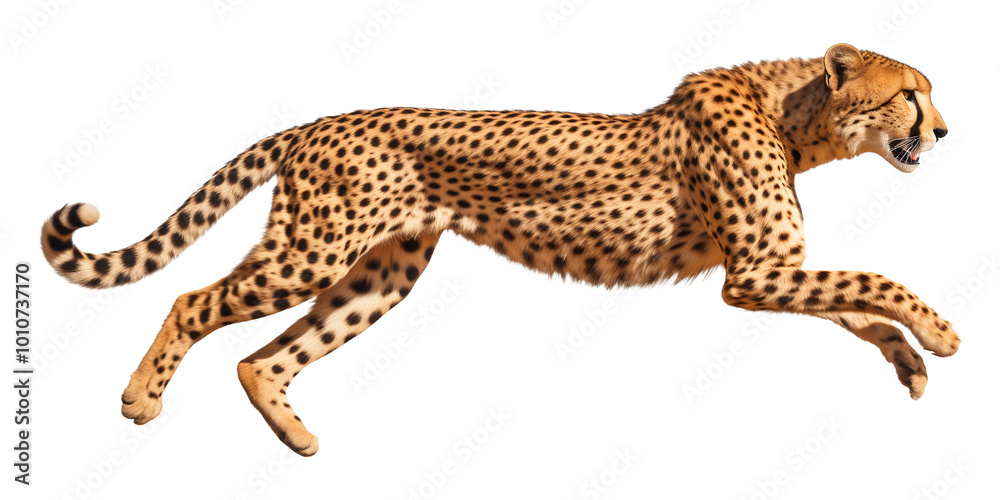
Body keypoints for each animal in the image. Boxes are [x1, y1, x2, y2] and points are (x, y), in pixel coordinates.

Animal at [41, 43, 957, 456]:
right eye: (911, 94)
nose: (945, 131)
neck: (798, 115)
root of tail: (319, 121)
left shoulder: (772, 271)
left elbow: (852, 302)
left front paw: (910, 361)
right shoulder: (755, 273)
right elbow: (873, 279)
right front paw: (941, 334)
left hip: (381, 275)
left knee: (263, 358)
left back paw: (298, 440)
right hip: (315, 252)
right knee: (192, 301)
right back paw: (139, 399)